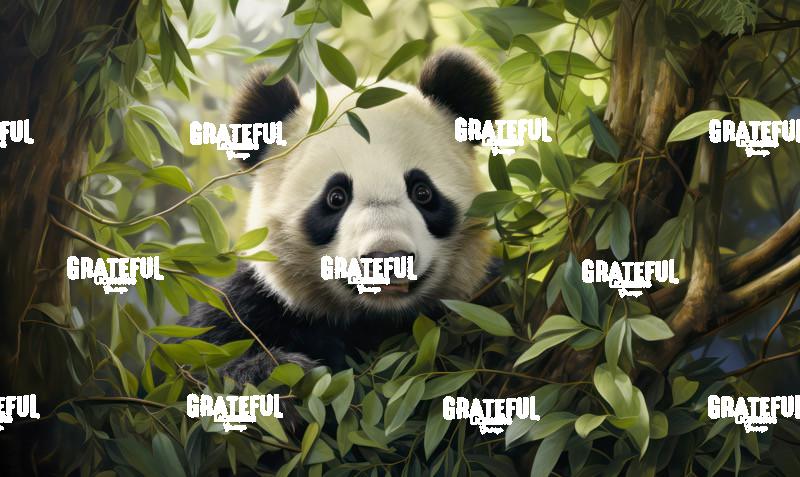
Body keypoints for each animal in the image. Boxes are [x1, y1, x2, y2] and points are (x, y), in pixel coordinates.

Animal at [180, 48, 502, 387]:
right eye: (336, 197)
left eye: (422, 192)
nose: (386, 257)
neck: (375, 321)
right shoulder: (251, 307)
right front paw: (278, 371)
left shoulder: (483, 304)